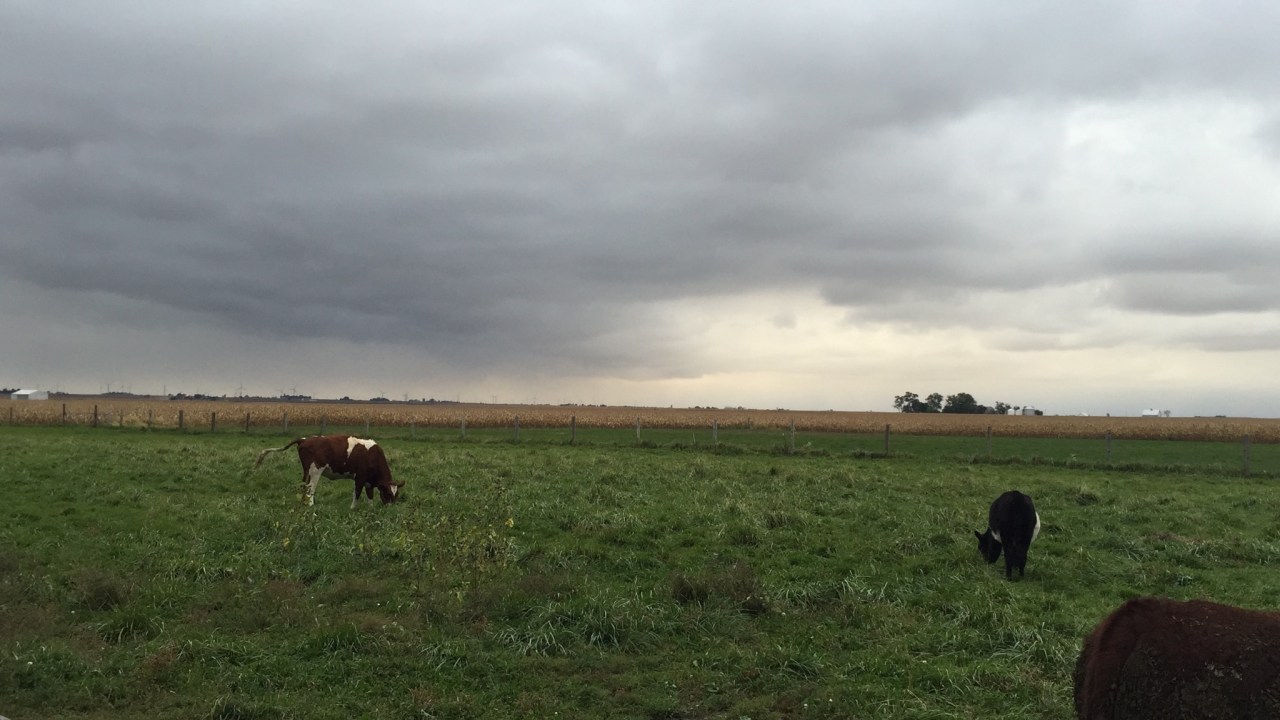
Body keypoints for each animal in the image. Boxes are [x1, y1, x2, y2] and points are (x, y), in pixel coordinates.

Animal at [254, 434, 402, 508]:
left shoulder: (369, 482)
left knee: (304, 487)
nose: (389, 509)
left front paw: (370, 509)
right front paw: (353, 508)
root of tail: (304, 439)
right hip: (315, 471)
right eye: (387, 494)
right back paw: (311, 505)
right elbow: (357, 493)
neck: (372, 455)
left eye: (396, 495)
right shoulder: (359, 478)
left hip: (307, 472)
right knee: (310, 488)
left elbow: (370, 495)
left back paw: (303, 504)